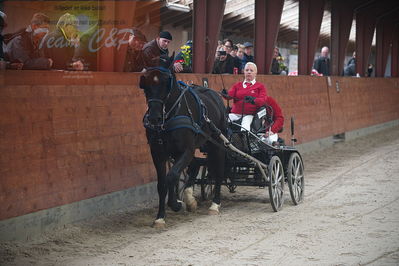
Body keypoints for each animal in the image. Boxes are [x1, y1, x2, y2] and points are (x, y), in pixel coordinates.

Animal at [139, 55, 227, 228]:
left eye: (165, 83)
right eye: (146, 85)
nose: (154, 117)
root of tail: (214, 94)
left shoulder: (186, 150)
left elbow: (172, 176)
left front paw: (176, 204)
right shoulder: (158, 153)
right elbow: (162, 183)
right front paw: (160, 217)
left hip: (217, 144)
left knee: (219, 170)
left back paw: (215, 204)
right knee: (195, 165)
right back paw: (190, 198)